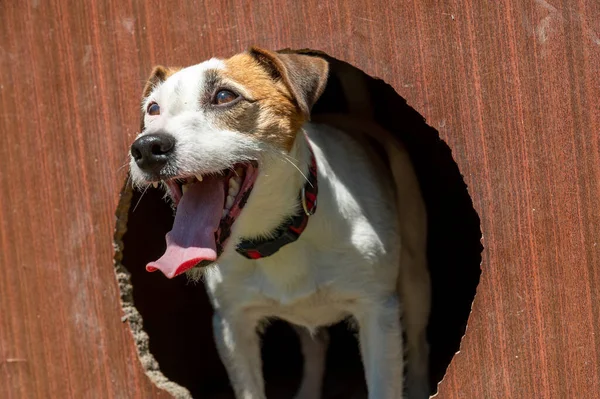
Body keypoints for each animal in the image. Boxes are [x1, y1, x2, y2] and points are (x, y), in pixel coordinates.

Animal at [130, 47, 432, 399]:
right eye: (152, 109)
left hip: (415, 277)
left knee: (419, 341)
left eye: (224, 96)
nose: (147, 147)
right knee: (316, 344)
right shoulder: (233, 325)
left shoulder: (377, 313)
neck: (276, 236)